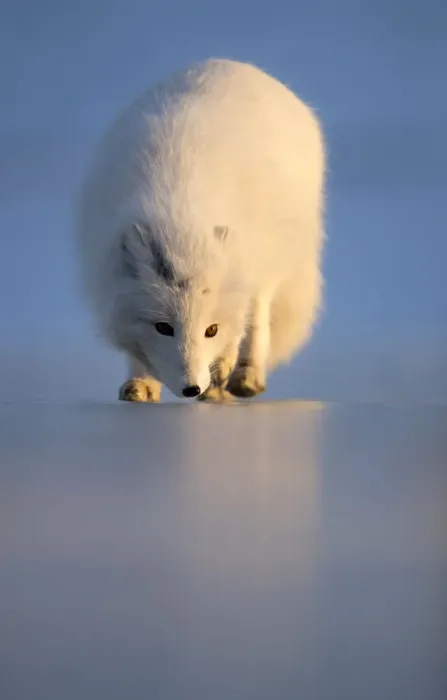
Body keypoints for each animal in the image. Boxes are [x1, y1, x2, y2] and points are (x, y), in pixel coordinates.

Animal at [74, 58, 326, 402]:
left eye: (211, 330)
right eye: (163, 327)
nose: (191, 388)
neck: (178, 217)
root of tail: (233, 63)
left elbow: (240, 327)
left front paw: (221, 375)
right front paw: (141, 383)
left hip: (270, 262)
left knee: (256, 319)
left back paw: (244, 377)